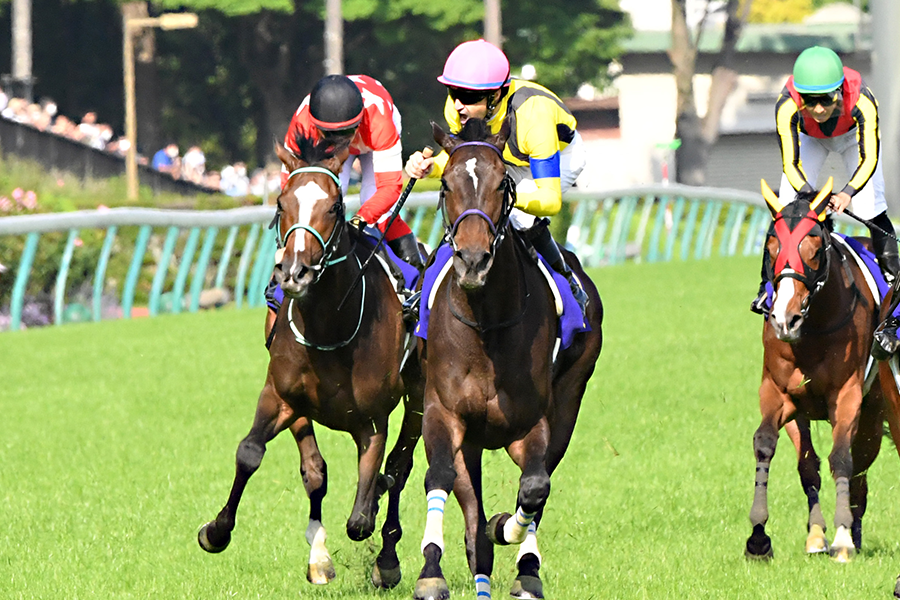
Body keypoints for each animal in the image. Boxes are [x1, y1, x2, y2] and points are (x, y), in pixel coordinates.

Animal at [197, 134, 423, 589]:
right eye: (281, 201)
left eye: (335, 206)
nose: (294, 273)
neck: (329, 325)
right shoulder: (283, 394)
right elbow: (264, 456)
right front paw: (216, 531)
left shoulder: (372, 419)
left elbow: (361, 515)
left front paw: (371, 522)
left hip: (422, 394)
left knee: (400, 467)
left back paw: (387, 559)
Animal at [411, 119, 603, 600]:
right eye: (446, 183)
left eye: (503, 184)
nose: (473, 261)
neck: (486, 326)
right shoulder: (444, 411)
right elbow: (439, 476)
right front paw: (431, 572)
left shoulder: (532, 422)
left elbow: (534, 487)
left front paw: (508, 533)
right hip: (472, 436)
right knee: (468, 499)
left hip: (567, 403)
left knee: (539, 483)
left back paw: (523, 566)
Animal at [746, 178, 889, 562]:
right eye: (771, 246)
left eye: (813, 248)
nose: (784, 318)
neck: (814, 327)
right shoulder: (781, 395)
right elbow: (770, 447)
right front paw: (760, 537)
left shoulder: (848, 396)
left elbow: (841, 458)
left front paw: (841, 539)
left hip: (876, 409)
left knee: (861, 466)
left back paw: (853, 533)